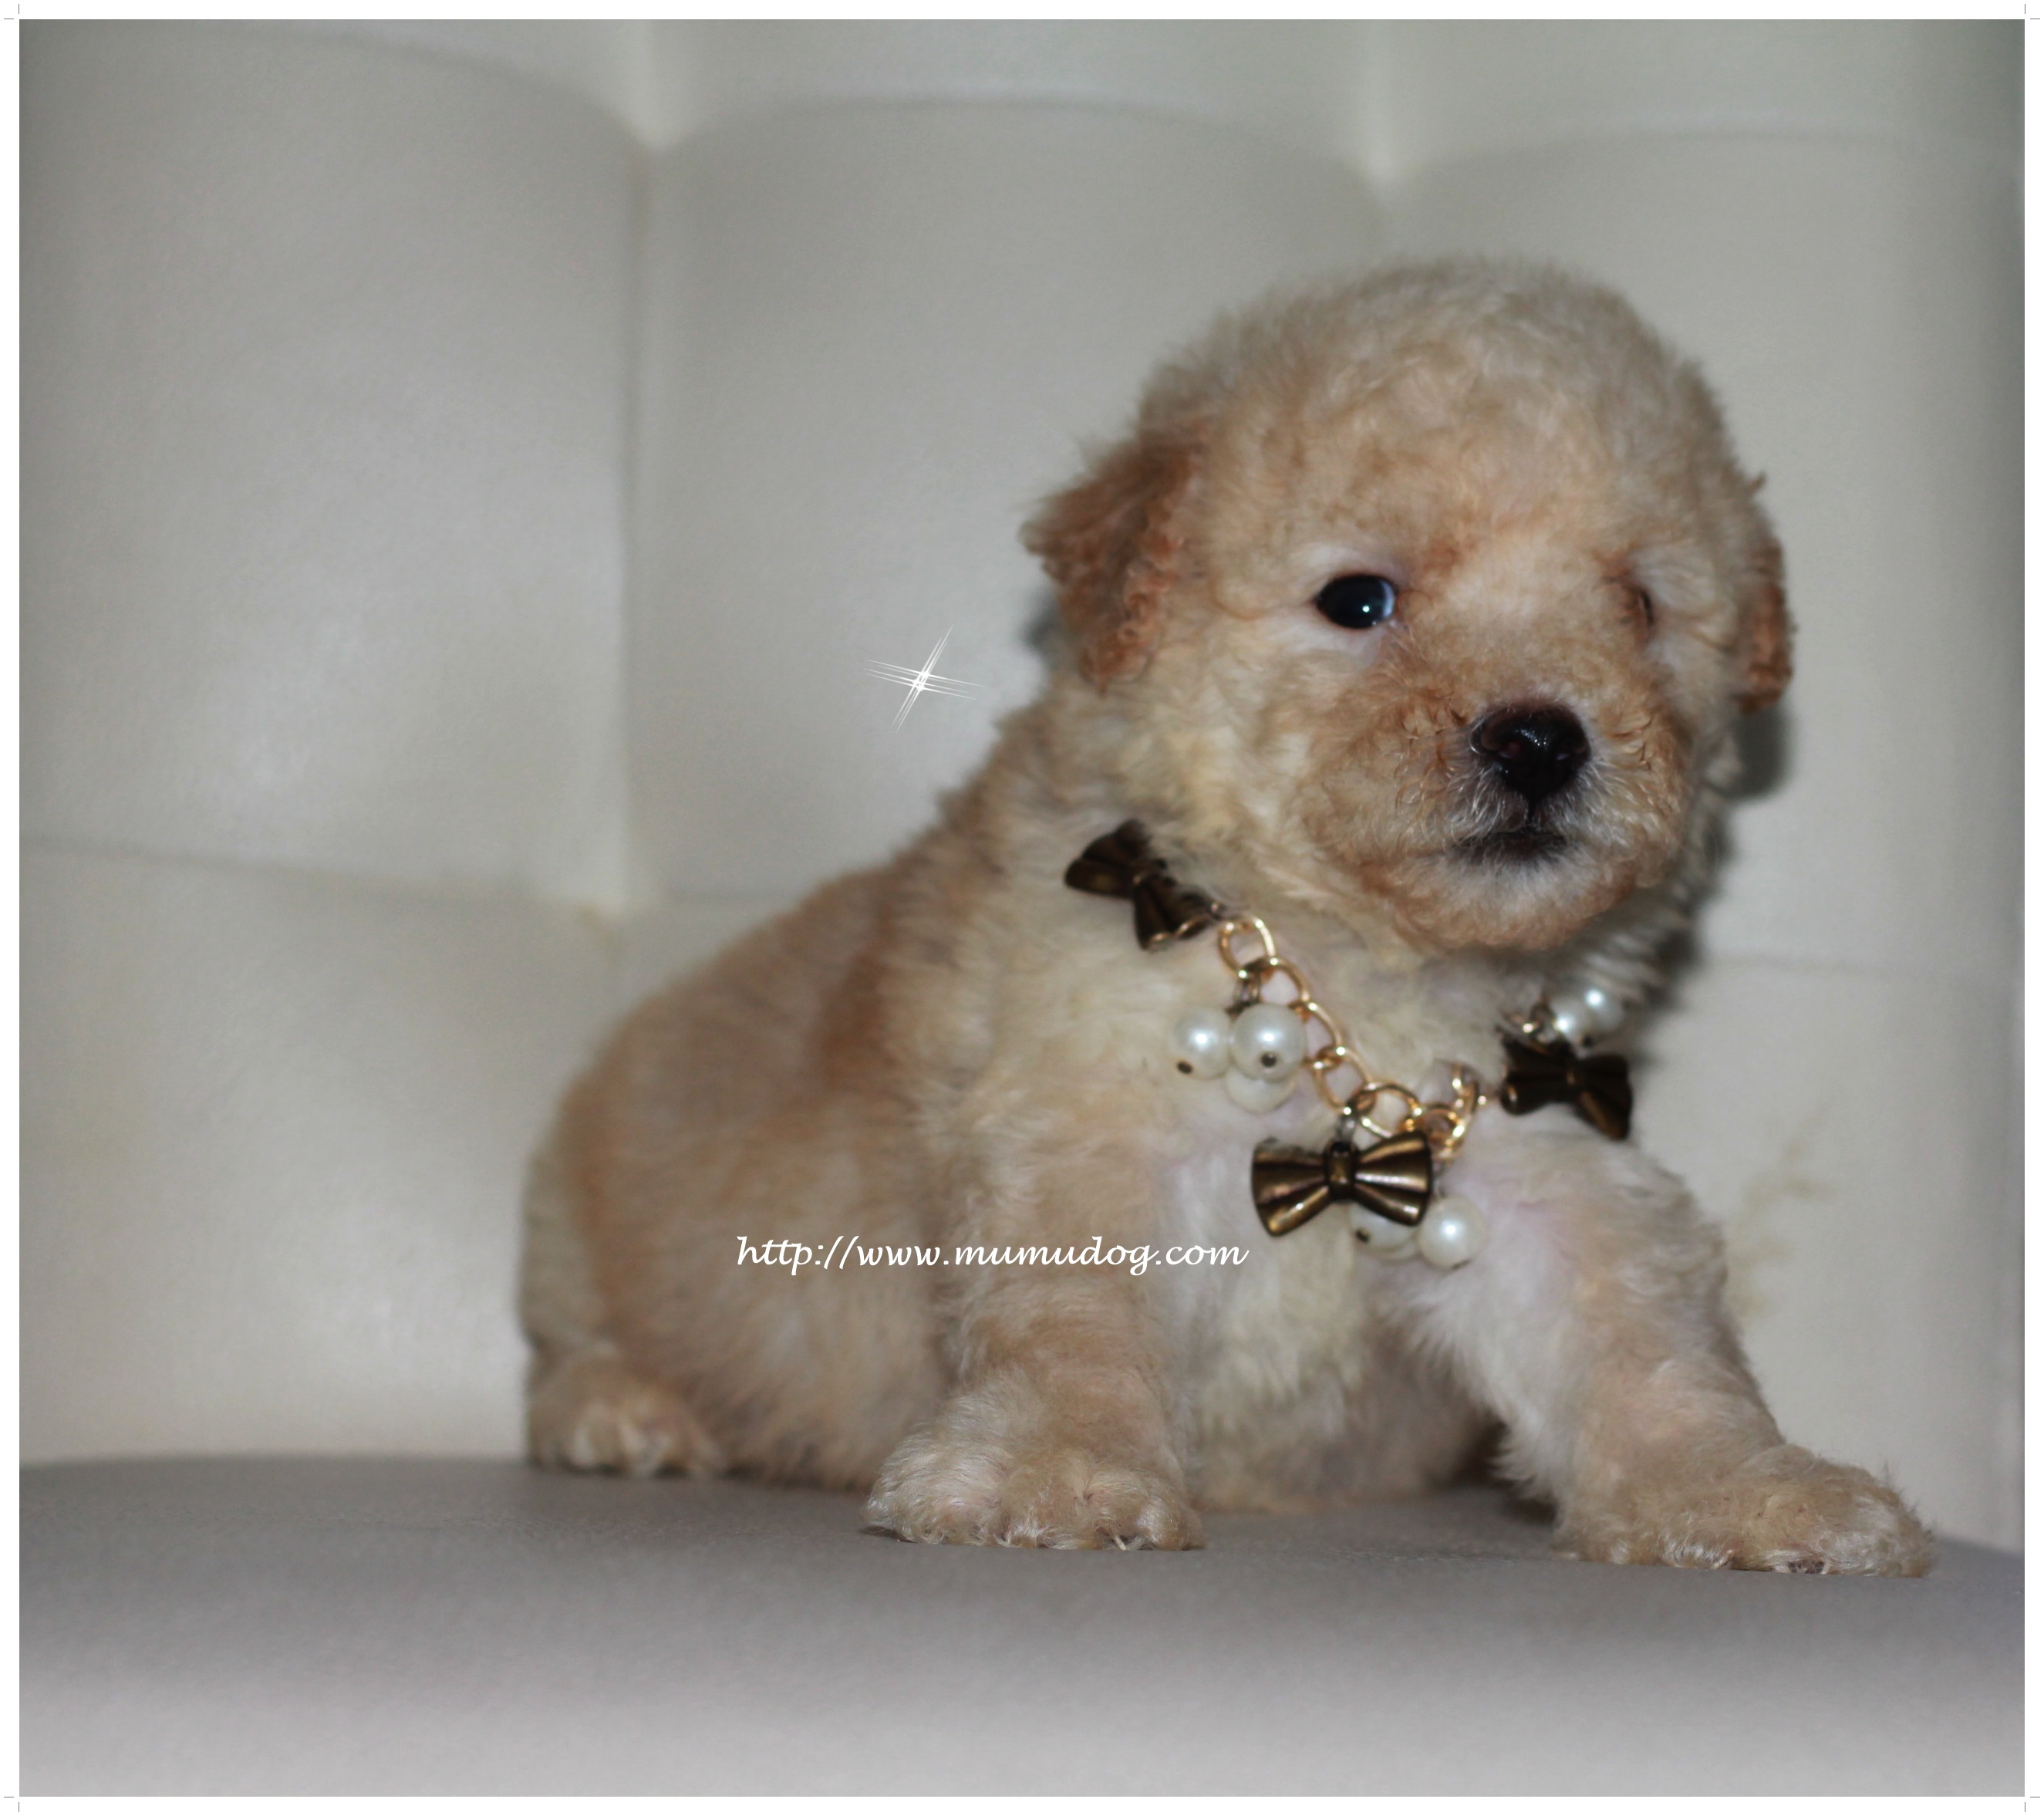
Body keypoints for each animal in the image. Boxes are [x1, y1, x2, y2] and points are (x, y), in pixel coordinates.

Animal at [520, 259, 1932, 1573]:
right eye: (1357, 599)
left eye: (1639, 606)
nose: (1538, 737)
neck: (1345, 982)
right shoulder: (1083, 1116)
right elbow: (1070, 1308)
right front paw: (1054, 1469)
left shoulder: (1546, 1149)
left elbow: (1643, 1334)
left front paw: (1749, 1488)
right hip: (582, 1214)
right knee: (571, 1340)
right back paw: (625, 1410)